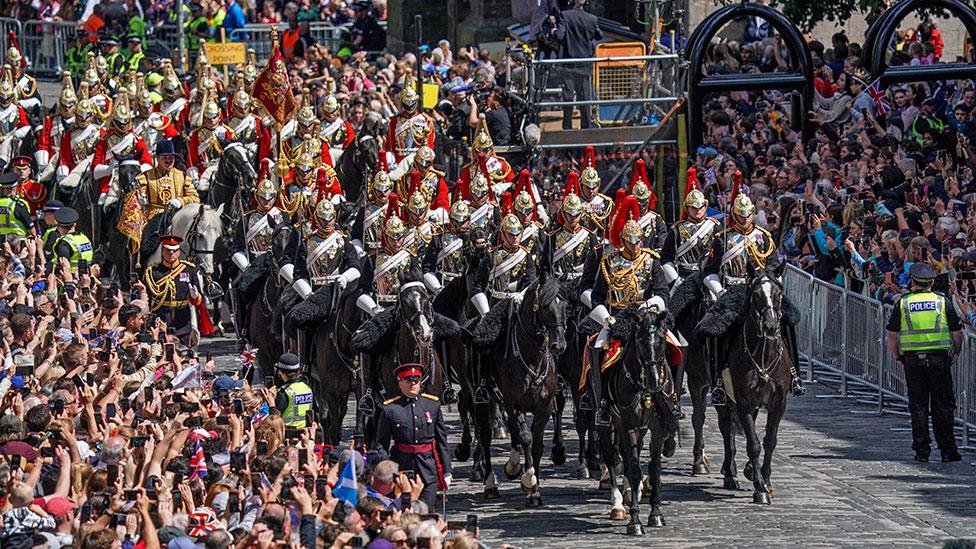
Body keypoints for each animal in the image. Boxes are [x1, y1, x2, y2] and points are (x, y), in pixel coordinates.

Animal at [596, 308, 680, 536]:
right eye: (640, 340)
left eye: (661, 340)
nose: (654, 381)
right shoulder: (628, 425)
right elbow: (634, 470)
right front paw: (635, 522)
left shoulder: (658, 426)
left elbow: (654, 468)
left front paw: (656, 513)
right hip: (607, 422)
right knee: (611, 456)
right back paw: (617, 503)